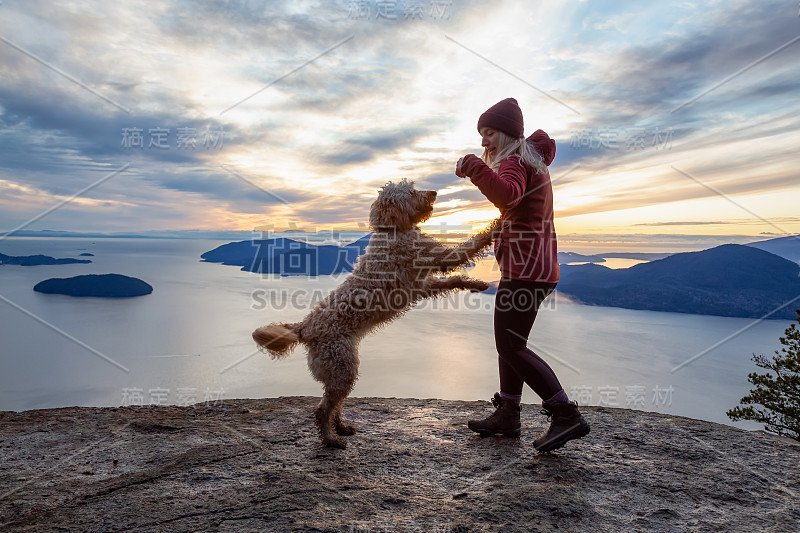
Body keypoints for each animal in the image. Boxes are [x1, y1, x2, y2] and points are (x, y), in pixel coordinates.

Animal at [253, 180, 496, 448]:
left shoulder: (423, 286)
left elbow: (453, 280)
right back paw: (330, 438)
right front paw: (499, 222)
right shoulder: (438, 257)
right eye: (411, 191)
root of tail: (305, 327)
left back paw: (341, 427)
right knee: (322, 409)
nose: (433, 192)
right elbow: (473, 244)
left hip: (338, 373)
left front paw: (477, 284)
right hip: (342, 367)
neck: (392, 230)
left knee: (334, 405)